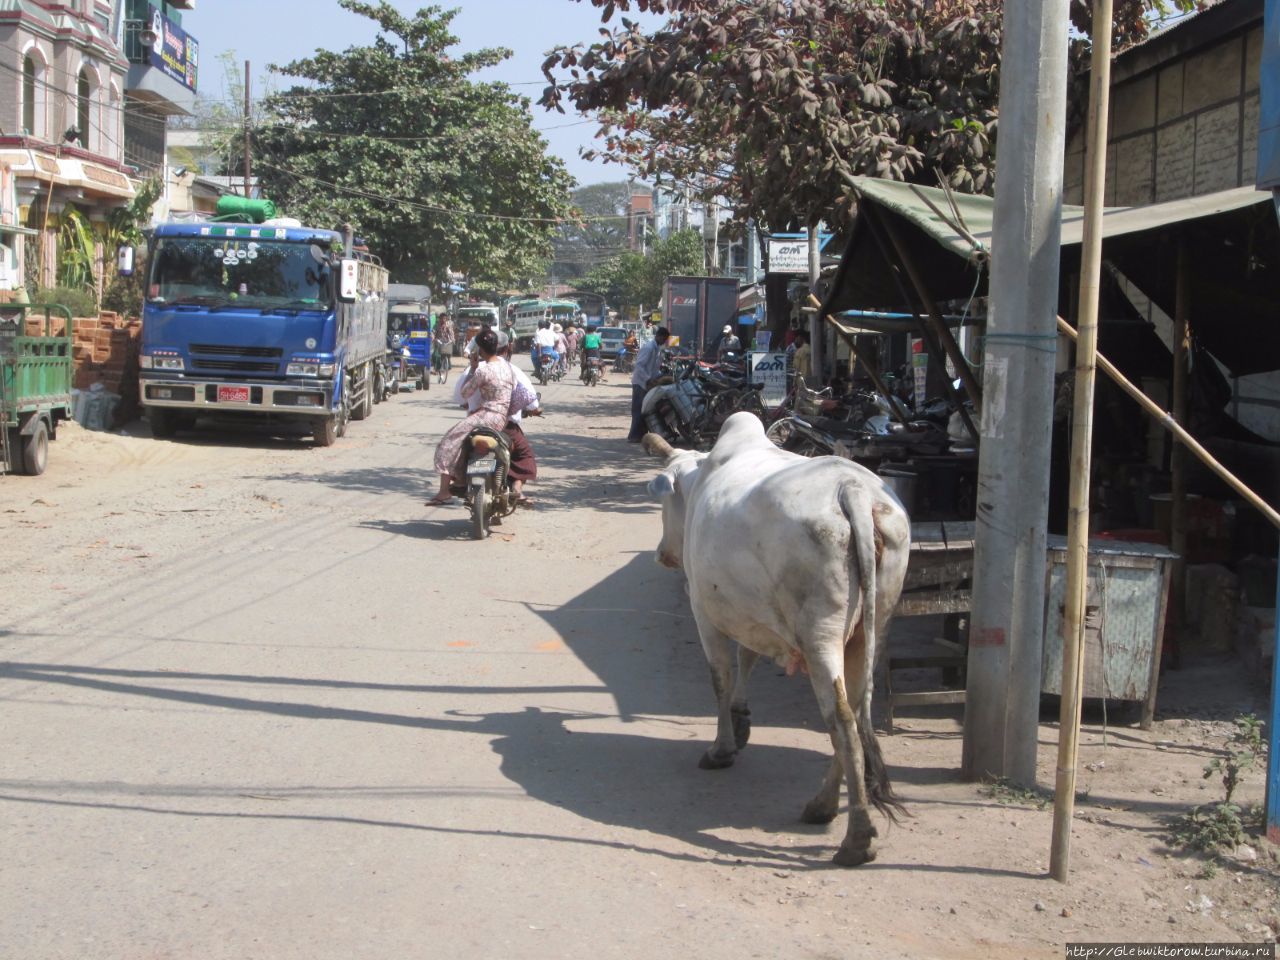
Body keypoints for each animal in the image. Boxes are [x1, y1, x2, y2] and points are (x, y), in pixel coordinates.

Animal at [650, 414, 911, 870]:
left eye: (667, 503)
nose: (663, 553)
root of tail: (853, 489)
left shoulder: (704, 610)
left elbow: (720, 678)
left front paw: (721, 749)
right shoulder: (753, 613)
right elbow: (748, 657)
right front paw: (741, 720)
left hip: (820, 633)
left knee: (842, 720)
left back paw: (855, 838)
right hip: (873, 626)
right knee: (856, 711)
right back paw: (823, 805)